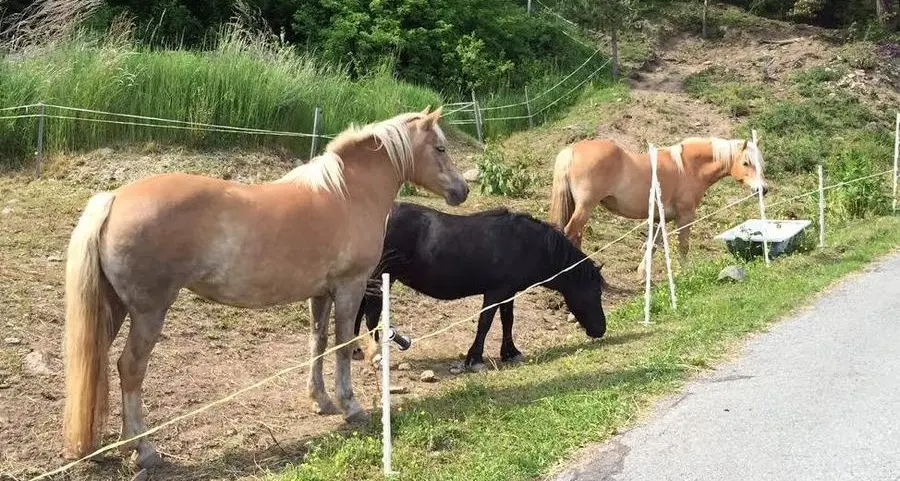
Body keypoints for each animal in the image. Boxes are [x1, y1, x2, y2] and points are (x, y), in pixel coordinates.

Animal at [61, 107, 469, 468]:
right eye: (440, 148)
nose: (462, 190)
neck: (348, 194)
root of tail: (114, 199)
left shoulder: (320, 293)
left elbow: (317, 342)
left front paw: (320, 400)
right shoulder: (350, 287)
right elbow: (342, 345)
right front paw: (351, 407)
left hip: (114, 309)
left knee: (97, 362)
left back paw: (101, 446)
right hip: (148, 314)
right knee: (130, 368)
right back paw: (143, 450)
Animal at [349, 202, 608, 372]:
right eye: (595, 292)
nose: (600, 329)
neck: (526, 243)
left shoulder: (508, 293)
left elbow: (507, 321)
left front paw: (510, 352)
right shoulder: (495, 292)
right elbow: (485, 323)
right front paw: (475, 359)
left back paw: (354, 350)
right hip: (382, 278)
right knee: (371, 313)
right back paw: (377, 356)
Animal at [549, 137, 768, 270]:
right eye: (746, 163)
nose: (762, 189)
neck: (687, 168)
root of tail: (571, 150)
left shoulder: (657, 218)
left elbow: (652, 246)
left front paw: (642, 275)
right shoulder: (685, 216)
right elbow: (683, 246)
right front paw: (684, 274)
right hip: (585, 207)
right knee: (571, 233)